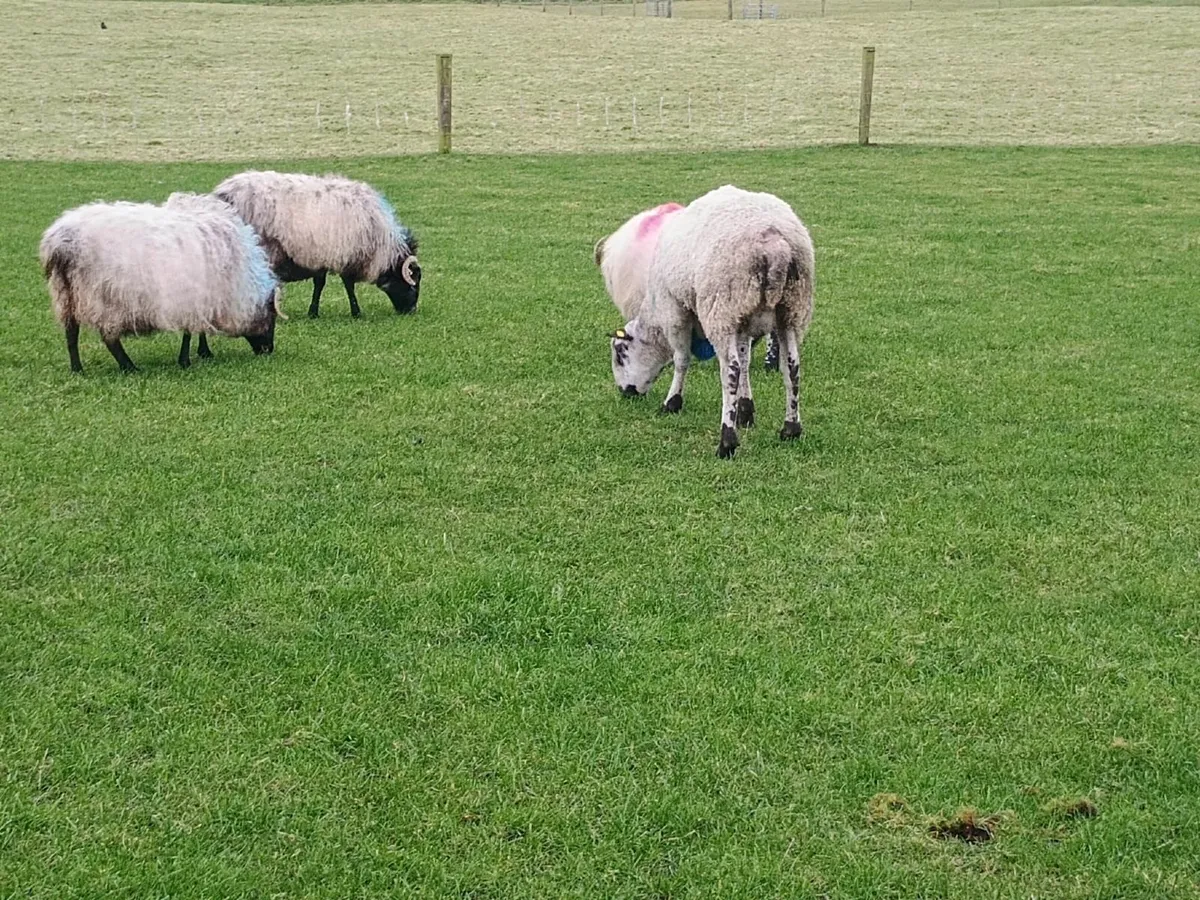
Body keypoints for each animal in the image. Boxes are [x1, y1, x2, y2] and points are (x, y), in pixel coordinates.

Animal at [39, 193, 284, 373]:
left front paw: (203, 353)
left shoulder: (200, 297)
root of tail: (61, 244)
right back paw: (129, 367)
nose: (268, 350)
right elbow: (190, 331)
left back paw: (77, 369)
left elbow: (199, 330)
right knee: (109, 338)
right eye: (271, 318)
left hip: (66, 295)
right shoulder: (195, 298)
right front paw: (187, 360)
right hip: (104, 299)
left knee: (71, 334)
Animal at [212, 171, 421, 319]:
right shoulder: (345, 253)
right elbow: (347, 285)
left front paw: (313, 311)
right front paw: (355, 312)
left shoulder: (321, 255)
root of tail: (222, 193)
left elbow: (320, 283)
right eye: (413, 282)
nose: (411, 311)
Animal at [604, 185, 814, 459]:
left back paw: (726, 442)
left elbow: (682, 360)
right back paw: (790, 429)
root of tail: (775, 244)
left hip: (720, 307)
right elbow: (746, 361)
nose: (626, 392)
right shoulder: (742, 318)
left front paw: (672, 403)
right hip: (790, 310)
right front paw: (745, 411)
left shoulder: (675, 310)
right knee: (791, 367)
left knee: (730, 371)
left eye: (620, 354)